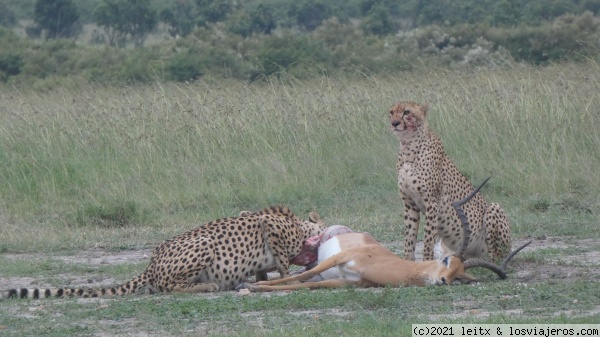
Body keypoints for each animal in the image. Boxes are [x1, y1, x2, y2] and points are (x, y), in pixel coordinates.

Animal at [2, 205, 326, 300]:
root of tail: (152, 259)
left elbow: (264, 268)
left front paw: (262, 279)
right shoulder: (269, 224)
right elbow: (281, 261)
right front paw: (288, 277)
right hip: (204, 242)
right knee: (168, 287)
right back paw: (207, 286)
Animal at [390, 101, 510, 262]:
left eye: (407, 112)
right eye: (391, 112)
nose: (394, 123)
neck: (408, 147)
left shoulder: (432, 203)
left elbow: (428, 239)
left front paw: (427, 262)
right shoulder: (409, 204)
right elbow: (409, 240)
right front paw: (407, 263)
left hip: (494, 210)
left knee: (497, 257)